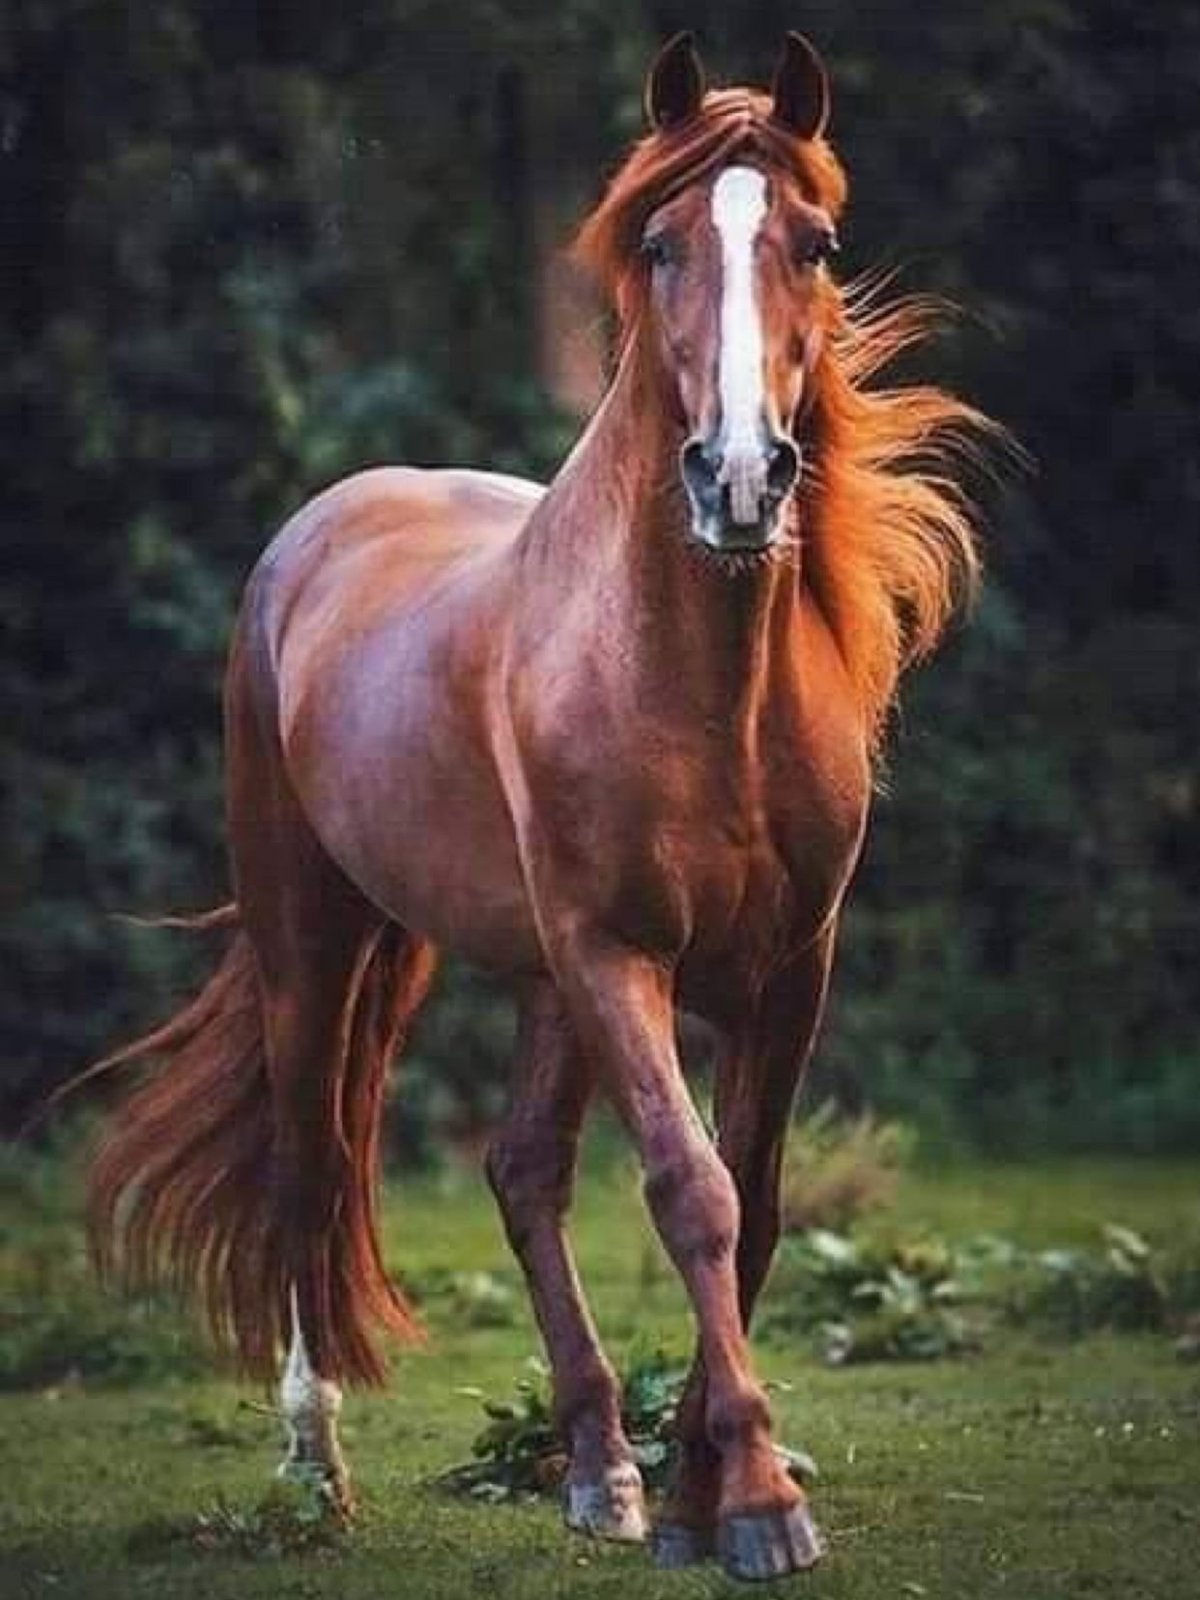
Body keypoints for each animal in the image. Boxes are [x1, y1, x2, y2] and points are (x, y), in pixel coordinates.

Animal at [86, 31, 989, 1582]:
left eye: (814, 244)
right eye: (658, 243)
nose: (739, 478)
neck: (699, 687)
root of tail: (319, 530)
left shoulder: (785, 972)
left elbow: (751, 1204)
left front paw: (690, 1494)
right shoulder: (621, 954)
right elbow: (692, 1191)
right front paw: (757, 1504)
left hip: (539, 978)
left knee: (521, 1169)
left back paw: (595, 1471)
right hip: (323, 942)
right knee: (309, 1165)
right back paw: (314, 1473)